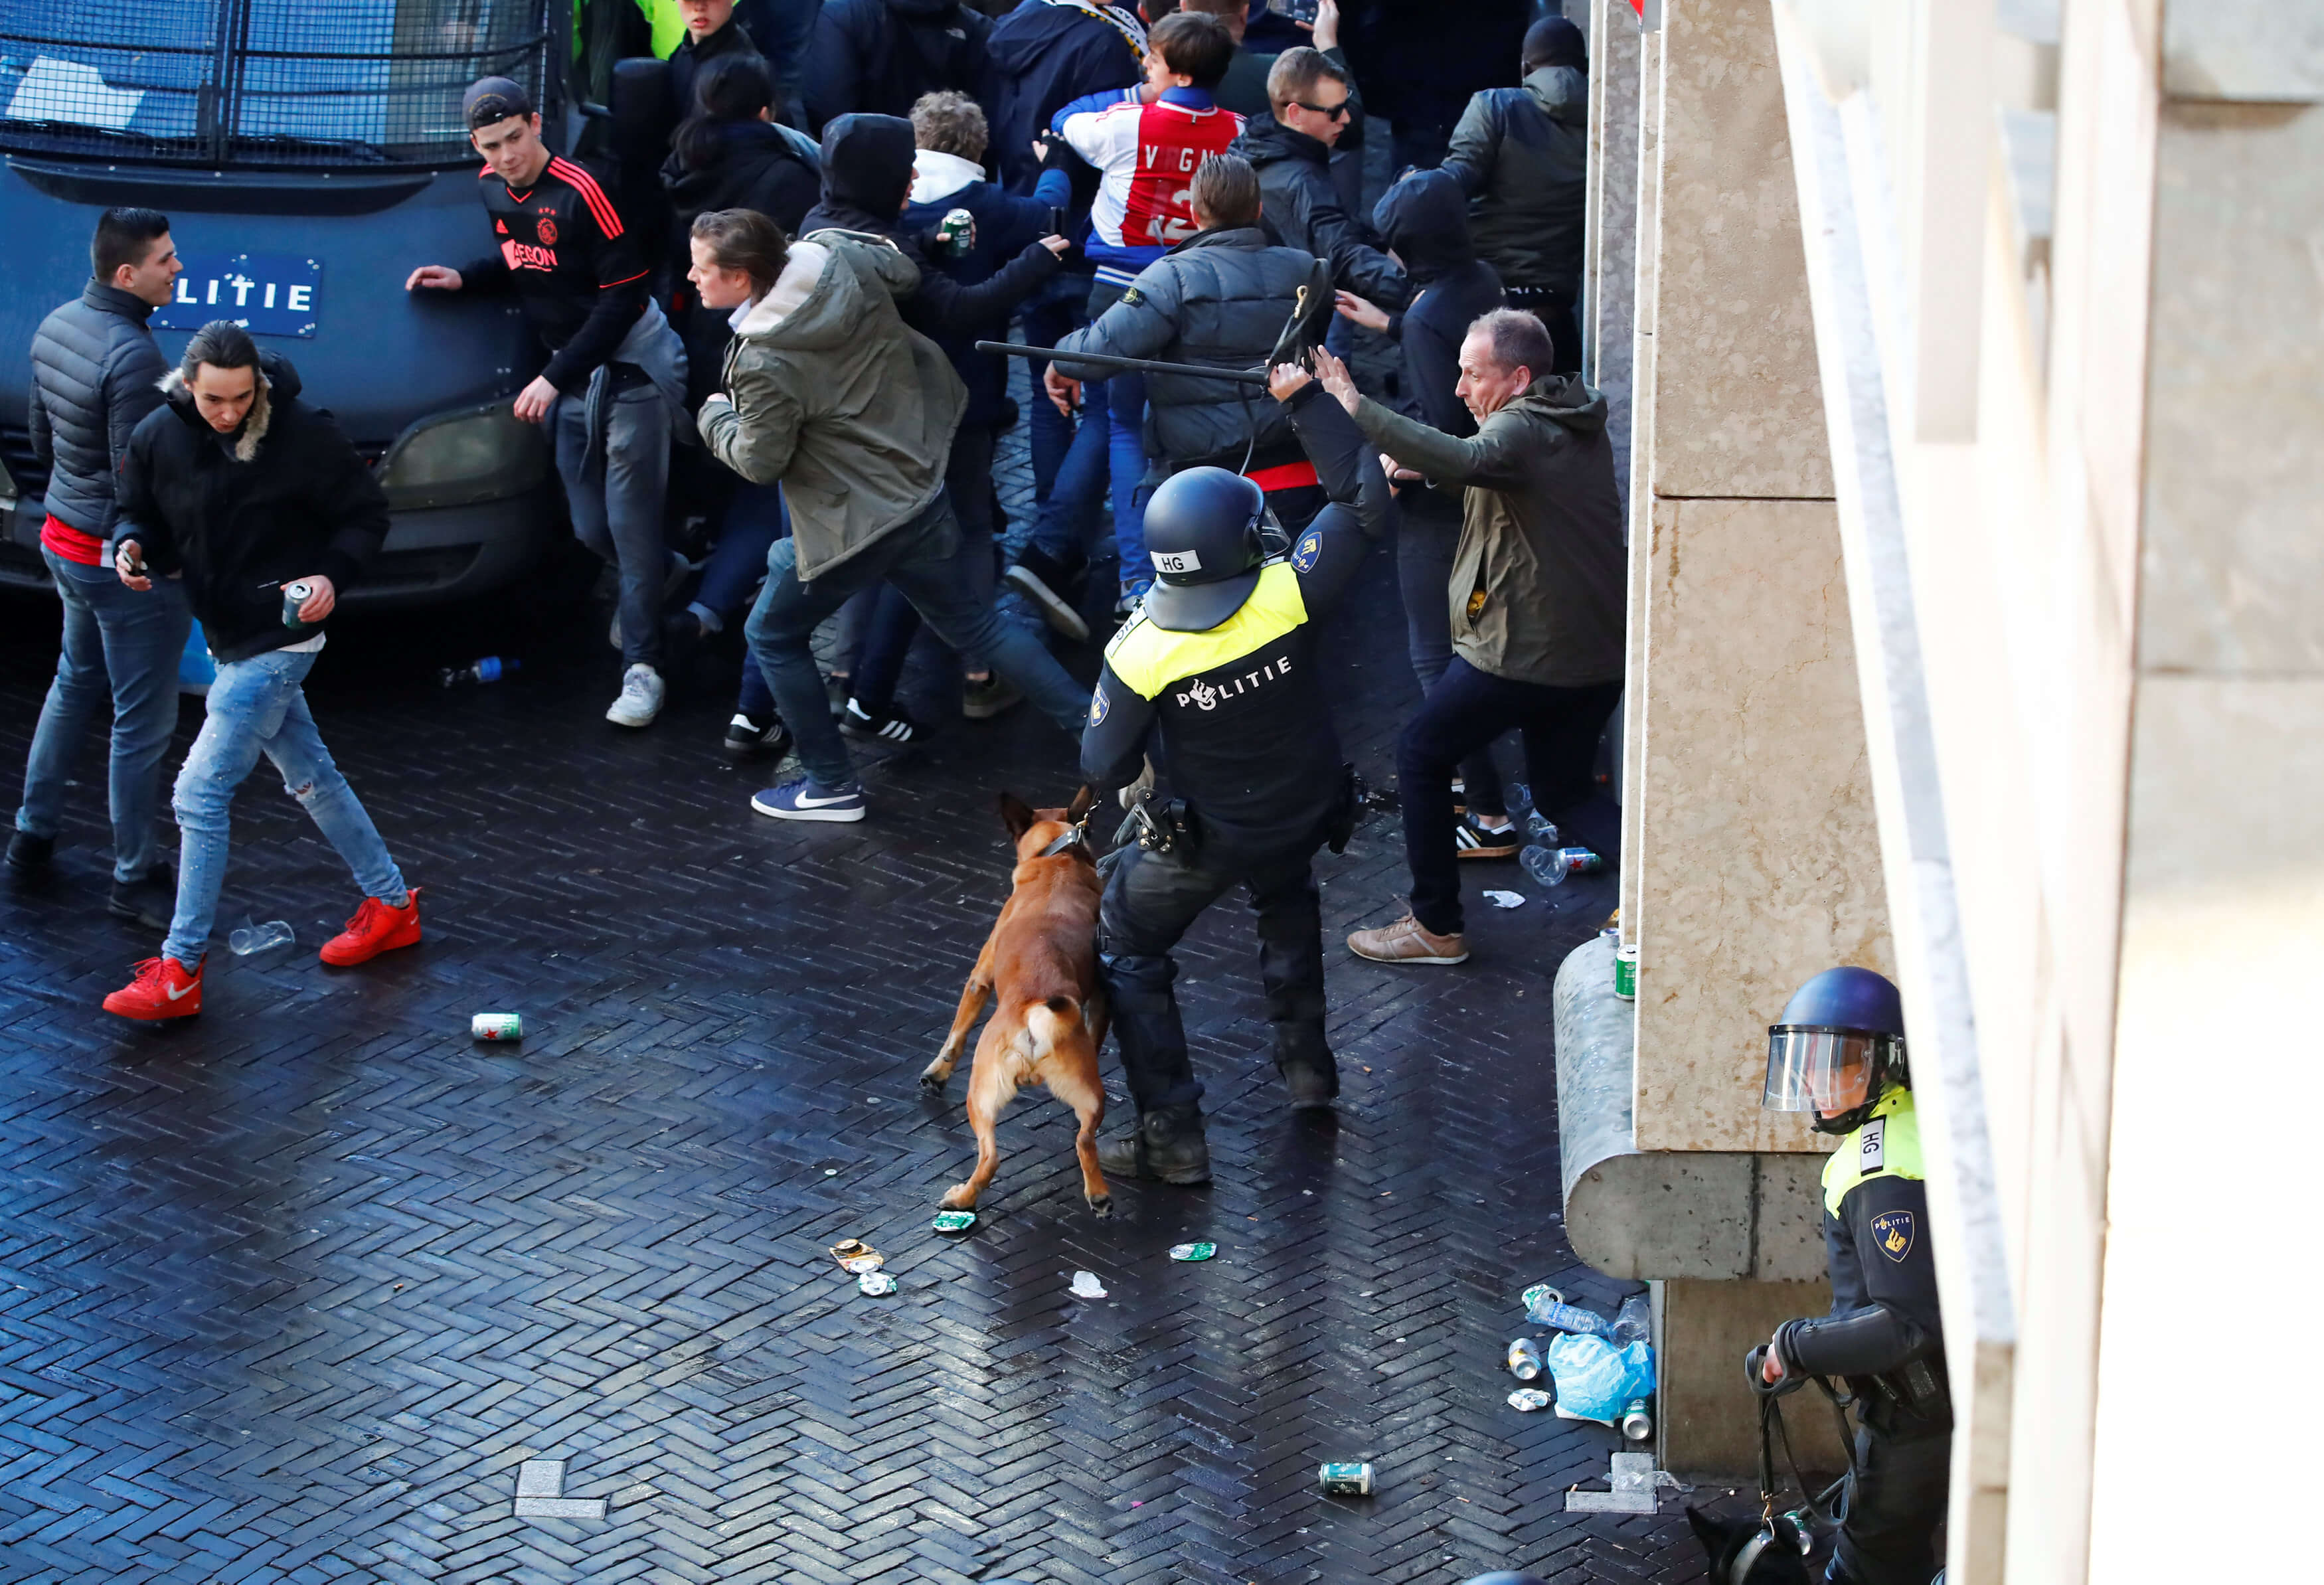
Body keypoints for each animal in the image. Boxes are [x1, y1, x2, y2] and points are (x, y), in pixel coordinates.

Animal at [920, 786, 1111, 1209]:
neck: (1058, 859)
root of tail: (1035, 1013)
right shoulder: (1102, 996)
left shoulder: (980, 978)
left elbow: (956, 1035)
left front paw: (936, 1073)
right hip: (1089, 1095)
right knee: (1083, 1141)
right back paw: (1099, 1196)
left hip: (979, 1094)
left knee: (989, 1157)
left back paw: (960, 1197)